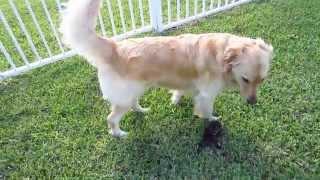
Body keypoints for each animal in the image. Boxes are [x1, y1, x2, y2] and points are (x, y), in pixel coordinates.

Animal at [60, 0, 276, 138]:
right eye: (246, 79)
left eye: (262, 80)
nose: (252, 103)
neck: (222, 55)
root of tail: (113, 47)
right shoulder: (207, 95)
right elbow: (207, 111)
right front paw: (212, 119)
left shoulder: (191, 85)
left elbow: (180, 92)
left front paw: (175, 101)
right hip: (124, 99)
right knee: (111, 118)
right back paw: (118, 134)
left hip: (136, 90)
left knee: (134, 104)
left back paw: (142, 110)